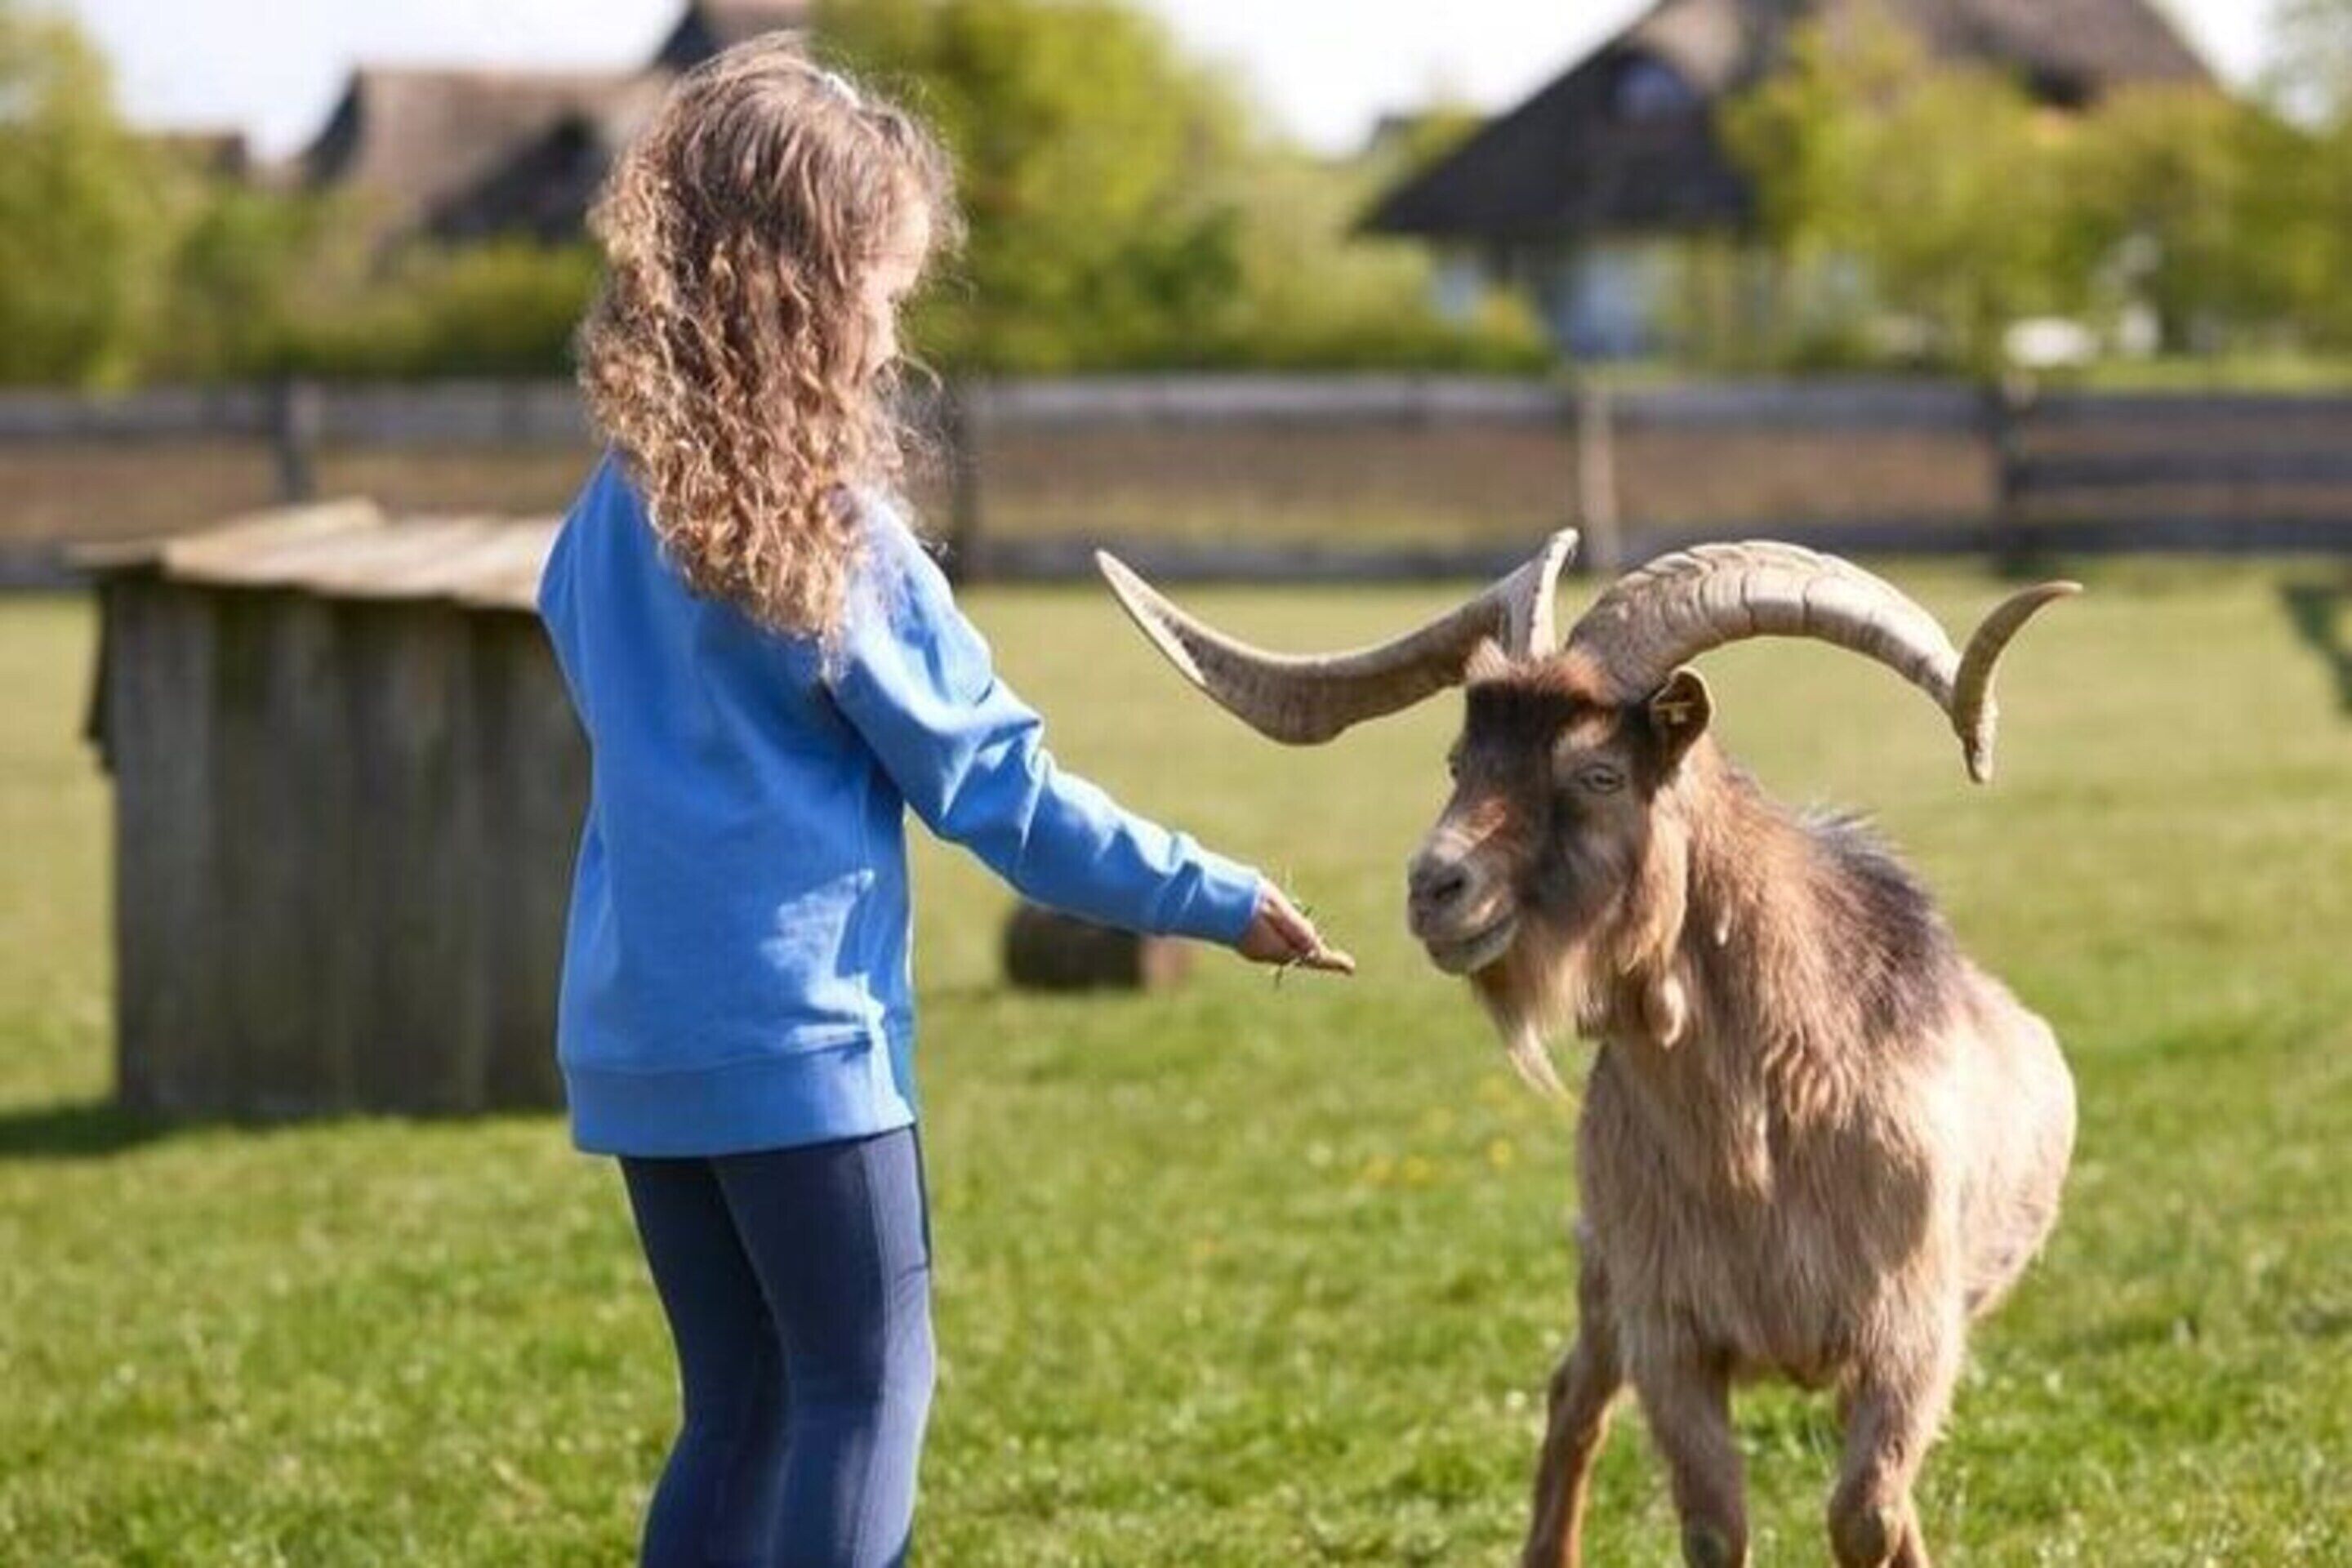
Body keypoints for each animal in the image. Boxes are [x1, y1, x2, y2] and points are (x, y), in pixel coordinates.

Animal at [1098, 537, 2079, 1568]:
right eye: (1461, 761)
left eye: (1599, 774)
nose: (1436, 887)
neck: (1766, 1134)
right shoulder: (1669, 1335)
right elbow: (1714, 1526)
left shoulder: (1909, 1335)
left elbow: (1868, 1514)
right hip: (1602, 1280)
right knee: (1574, 1395)